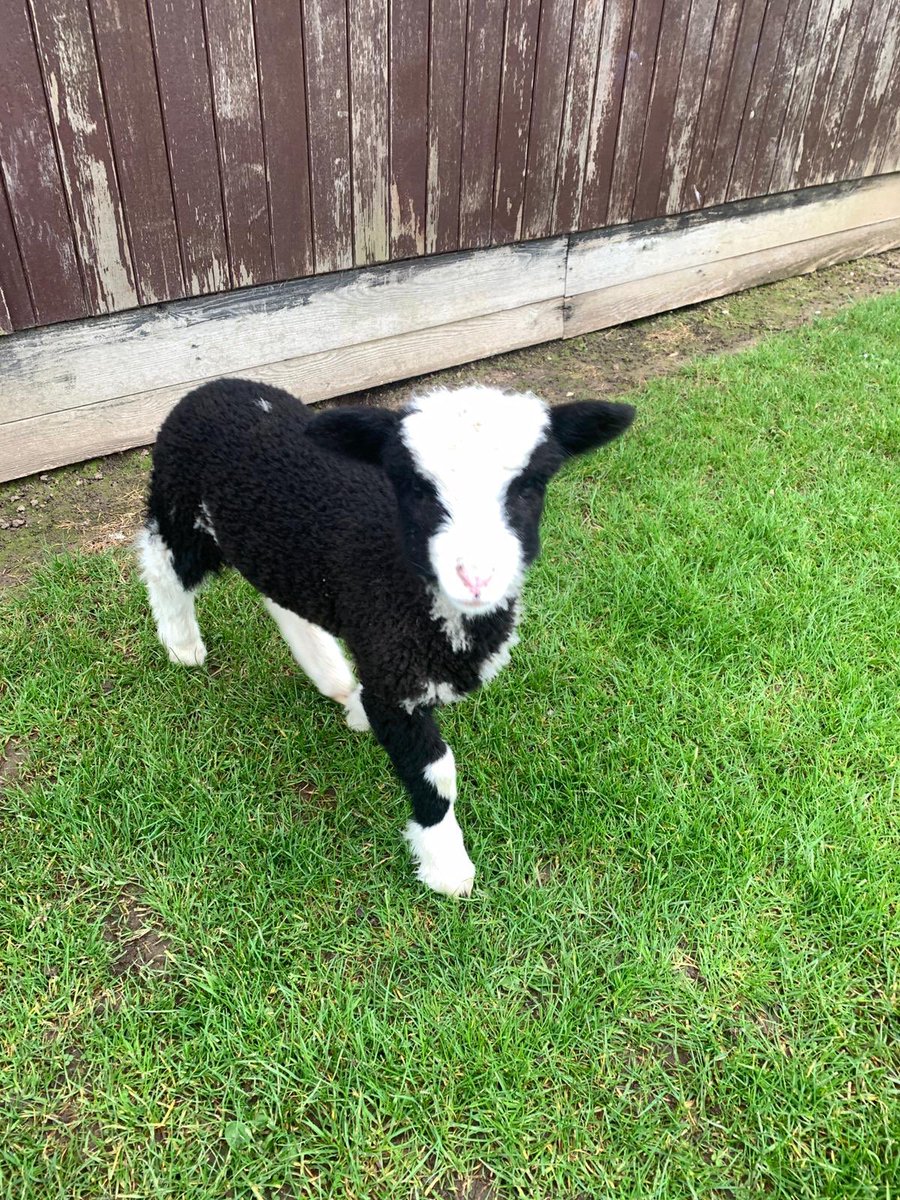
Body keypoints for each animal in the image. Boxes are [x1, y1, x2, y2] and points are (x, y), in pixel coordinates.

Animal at [137, 379, 635, 896]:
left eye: (530, 486)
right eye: (417, 488)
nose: (477, 578)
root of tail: (216, 386)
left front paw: (357, 712)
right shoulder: (395, 675)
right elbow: (436, 772)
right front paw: (447, 867)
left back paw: (331, 675)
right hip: (181, 505)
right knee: (162, 564)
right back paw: (182, 644)